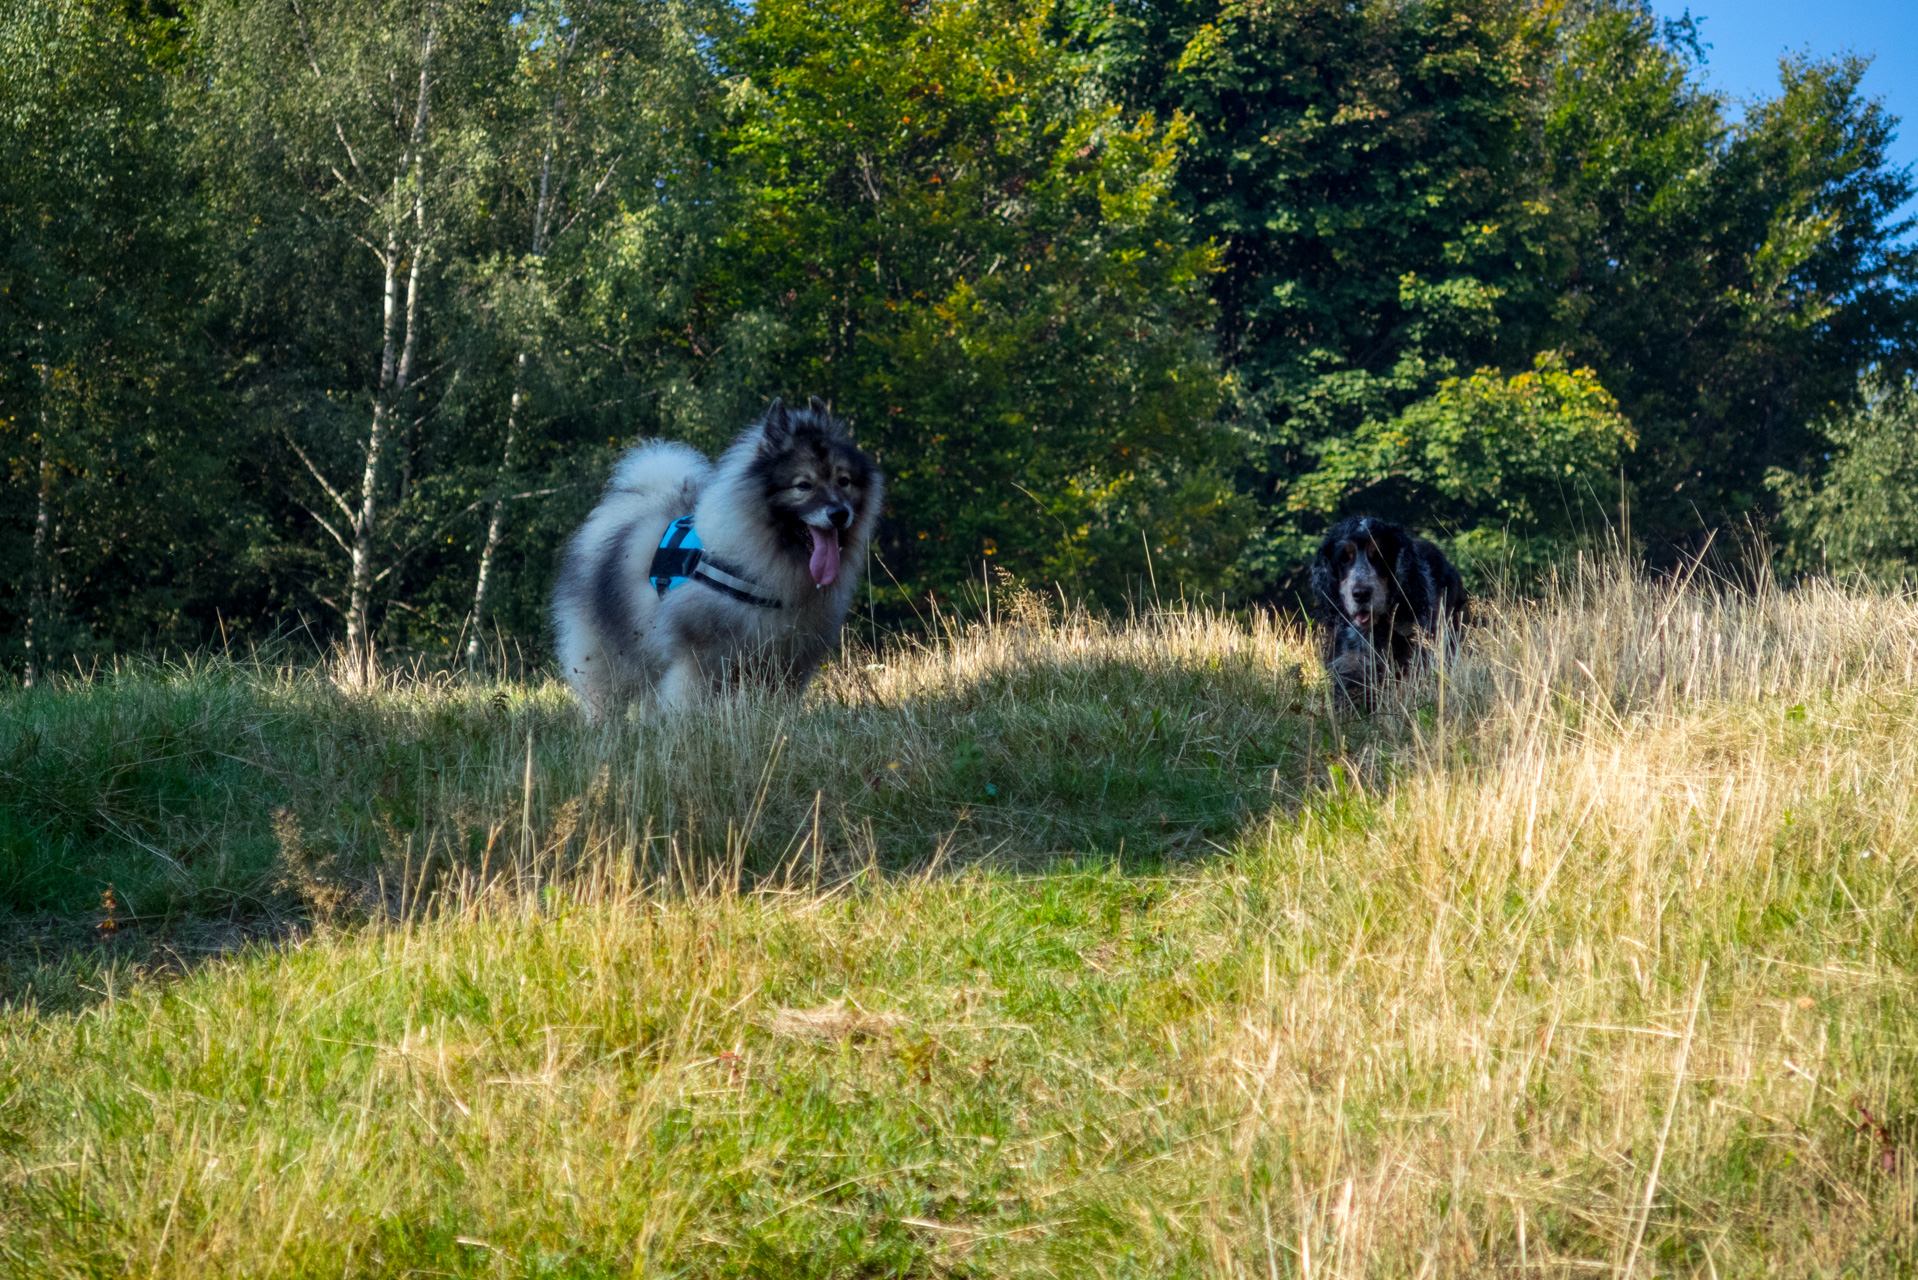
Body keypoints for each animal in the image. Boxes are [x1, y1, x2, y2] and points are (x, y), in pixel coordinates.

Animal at [556, 397, 882, 721]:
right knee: (601, 695)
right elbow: (688, 699)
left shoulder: (788, 660)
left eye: (844, 481)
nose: (839, 513)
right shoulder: (697, 658)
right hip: (604, 655)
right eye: (803, 485)